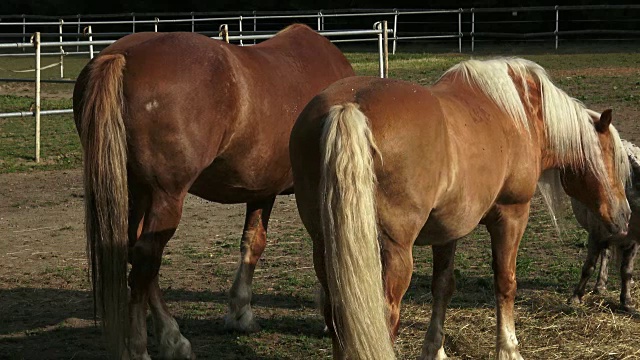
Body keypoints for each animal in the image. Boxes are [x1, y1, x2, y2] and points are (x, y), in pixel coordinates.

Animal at [74, 23, 356, 358]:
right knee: (145, 260)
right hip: (166, 196)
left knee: (136, 256)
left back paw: (173, 338)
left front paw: (240, 313)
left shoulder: (261, 189)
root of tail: (122, 56)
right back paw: (141, 348)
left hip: (137, 192)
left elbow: (253, 243)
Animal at [290, 57, 632, 358]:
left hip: (325, 246)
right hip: (392, 251)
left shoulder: (447, 230)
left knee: (337, 314)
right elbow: (505, 283)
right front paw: (509, 350)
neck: (522, 114)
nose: (625, 215)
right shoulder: (512, 214)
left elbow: (442, 287)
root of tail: (349, 106)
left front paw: (435, 350)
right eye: (612, 157)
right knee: (384, 318)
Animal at [568, 138, 640, 312]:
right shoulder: (595, 235)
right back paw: (600, 285)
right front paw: (575, 297)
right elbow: (589, 267)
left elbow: (627, 271)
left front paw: (627, 301)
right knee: (605, 254)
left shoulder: (633, 242)